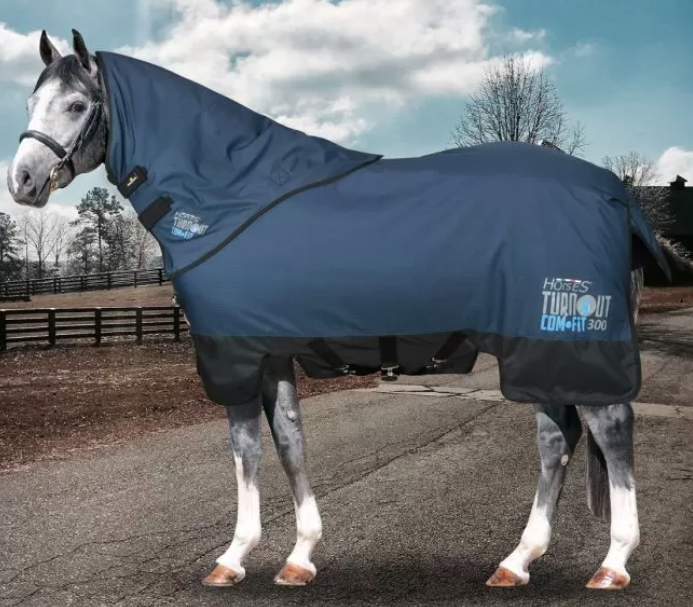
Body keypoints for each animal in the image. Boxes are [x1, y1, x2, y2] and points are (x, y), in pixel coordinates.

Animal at [6, 29, 655, 591]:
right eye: (32, 99)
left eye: (75, 104)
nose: (23, 181)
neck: (225, 194)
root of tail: (612, 191)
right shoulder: (269, 353)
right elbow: (290, 444)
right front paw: (298, 556)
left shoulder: (233, 354)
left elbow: (246, 450)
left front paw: (232, 557)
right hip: (540, 351)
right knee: (558, 440)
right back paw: (518, 561)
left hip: (561, 340)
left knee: (608, 429)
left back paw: (612, 564)